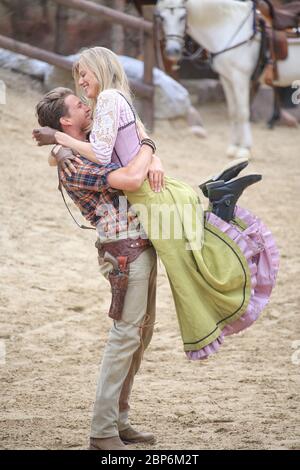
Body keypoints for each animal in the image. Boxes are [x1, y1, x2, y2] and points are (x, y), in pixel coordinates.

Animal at [156, 0, 300, 160]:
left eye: (182, 16)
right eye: (161, 17)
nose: (172, 51)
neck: (228, 29)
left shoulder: (240, 78)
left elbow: (243, 112)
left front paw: (245, 149)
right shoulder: (226, 79)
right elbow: (233, 112)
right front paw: (234, 147)